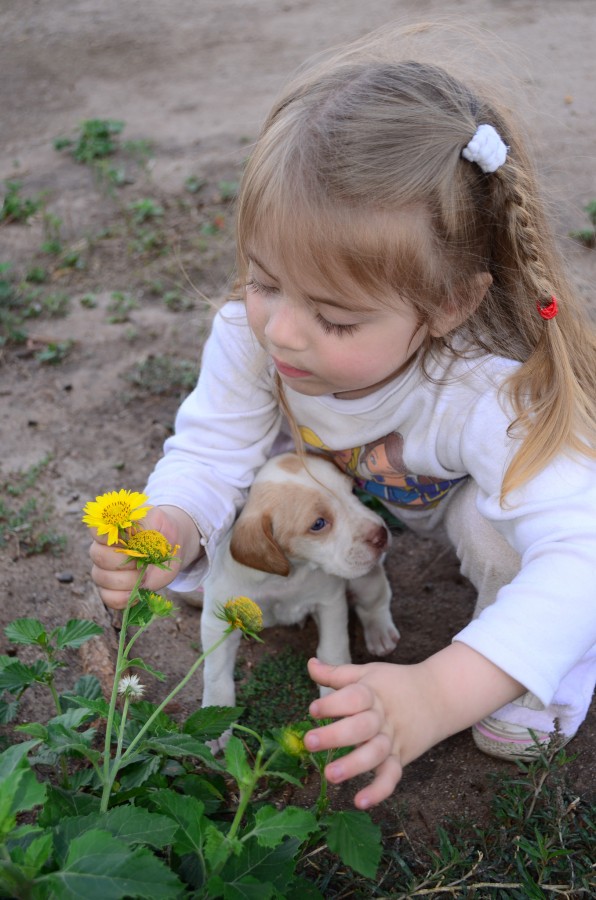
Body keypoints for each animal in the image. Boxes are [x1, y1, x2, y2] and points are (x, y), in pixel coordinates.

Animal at [200, 454, 400, 712]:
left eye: (353, 490)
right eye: (318, 524)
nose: (381, 535)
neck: (287, 577)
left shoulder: (330, 603)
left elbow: (332, 650)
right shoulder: (216, 622)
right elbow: (216, 675)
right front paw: (216, 712)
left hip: (364, 580)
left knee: (376, 600)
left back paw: (380, 633)